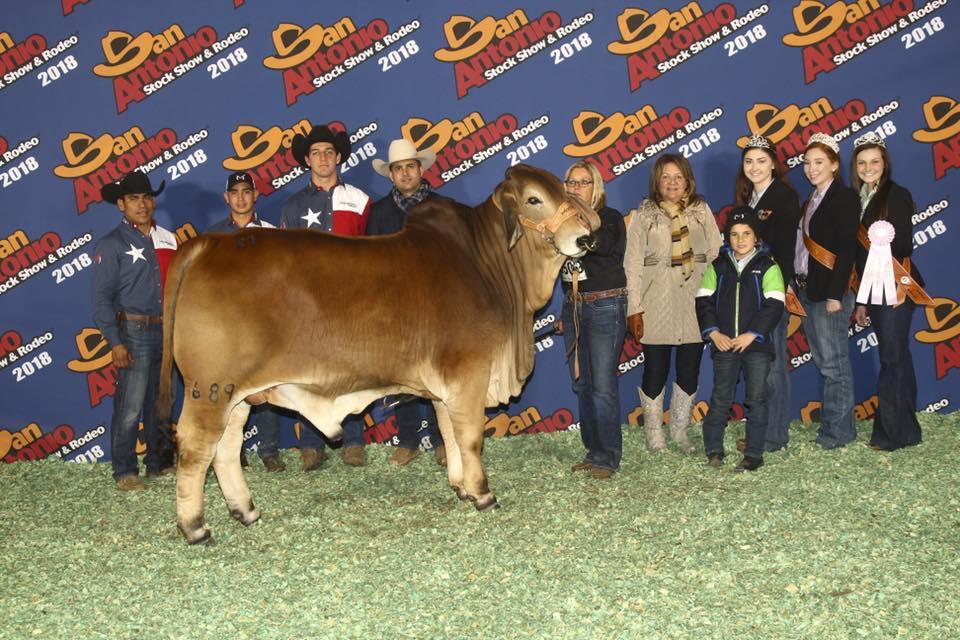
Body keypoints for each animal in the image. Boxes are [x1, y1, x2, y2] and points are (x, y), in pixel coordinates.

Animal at [158, 164, 600, 544]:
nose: (586, 237)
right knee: (196, 450)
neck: (486, 265)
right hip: (209, 389)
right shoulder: (468, 374)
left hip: (237, 396)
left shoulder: (445, 387)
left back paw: (245, 510)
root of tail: (209, 243)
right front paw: (483, 493)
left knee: (227, 448)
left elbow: (449, 433)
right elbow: (471, 436)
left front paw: (461, 488)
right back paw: (195, 527)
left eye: (564, 190)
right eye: (534, 199)